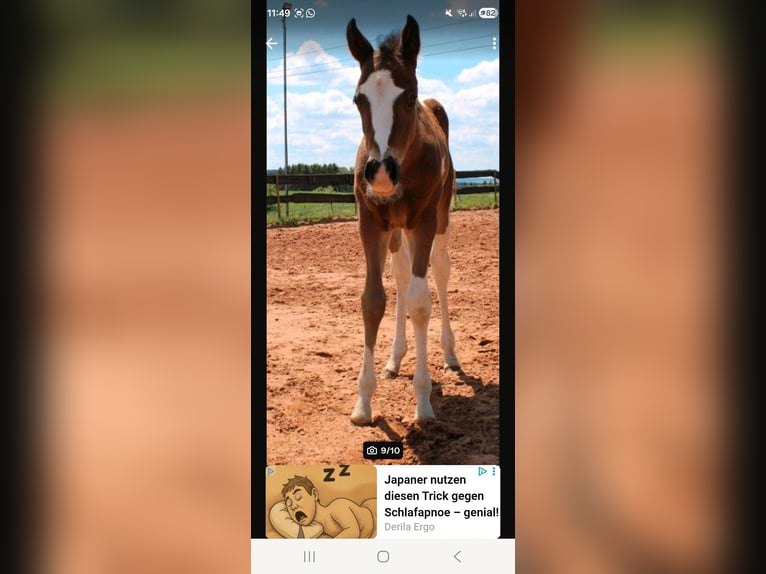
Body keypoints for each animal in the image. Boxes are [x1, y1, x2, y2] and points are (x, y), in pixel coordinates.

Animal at [345, 15, 460, 425]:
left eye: (408, 97)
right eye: (358, 99)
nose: (379, 173)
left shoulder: (423, 221)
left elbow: (421, 303)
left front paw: (423, 402)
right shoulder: (370, 222)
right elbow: (372, 300)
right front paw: (363, 401)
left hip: (438, 220)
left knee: (438, 270)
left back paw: (451, 354)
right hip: (397, 230)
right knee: (401, 274)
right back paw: (394, 359)